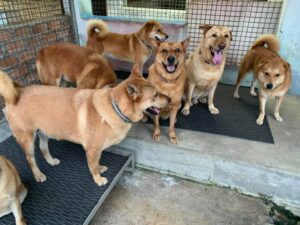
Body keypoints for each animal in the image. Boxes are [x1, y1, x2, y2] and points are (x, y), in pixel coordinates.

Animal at [0, 67, 169, 186]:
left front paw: (100, 168)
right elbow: (92, 166)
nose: (170, 99)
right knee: (30, 159)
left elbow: (96, 162)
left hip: (44, 132)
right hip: (27, 139)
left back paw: (51, 161)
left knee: (43, 148)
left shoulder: (97, 150)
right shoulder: (92, 150)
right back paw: (38, 174)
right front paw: (98, 178)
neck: (115, 106)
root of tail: (19, 90)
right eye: (155, 95)